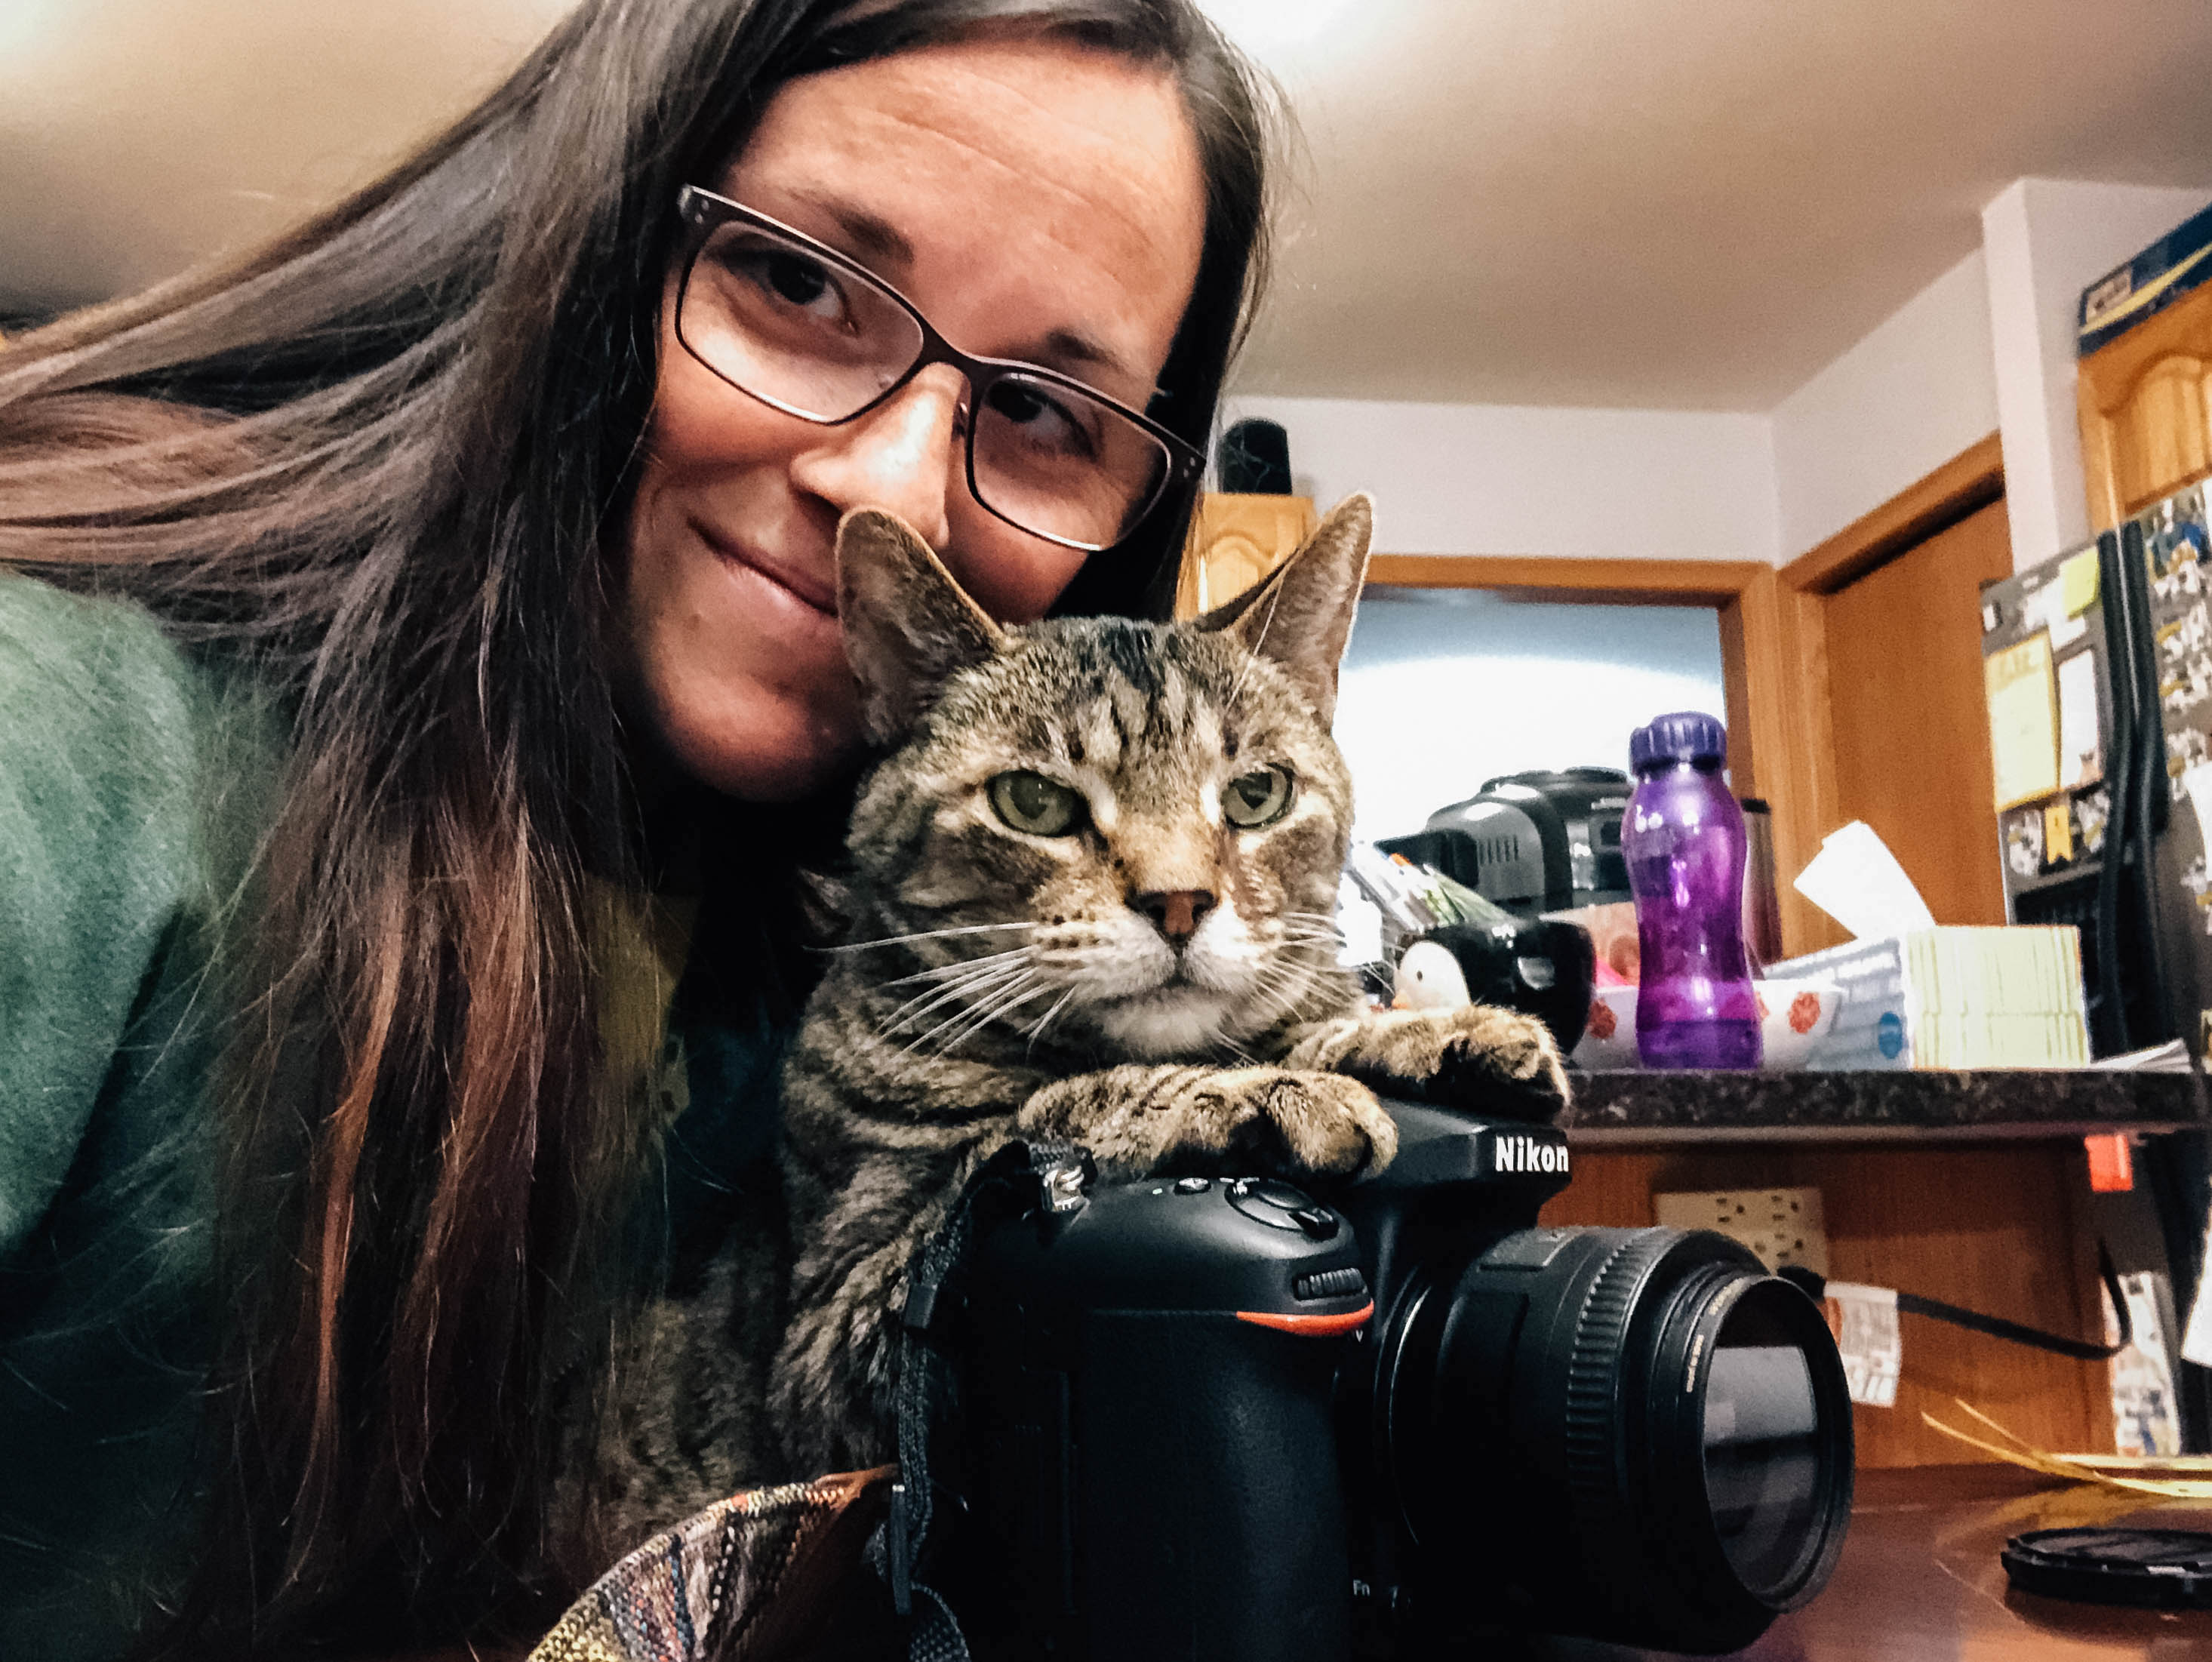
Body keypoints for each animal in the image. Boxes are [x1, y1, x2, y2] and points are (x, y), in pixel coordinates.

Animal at [579, 493, 1566, 1549]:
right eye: (1033, 801)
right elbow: (1043, 1112)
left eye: (1258, 794)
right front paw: (1259, 1092)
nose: (1180, 902)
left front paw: (1428, 1034)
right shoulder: (833, 1340)